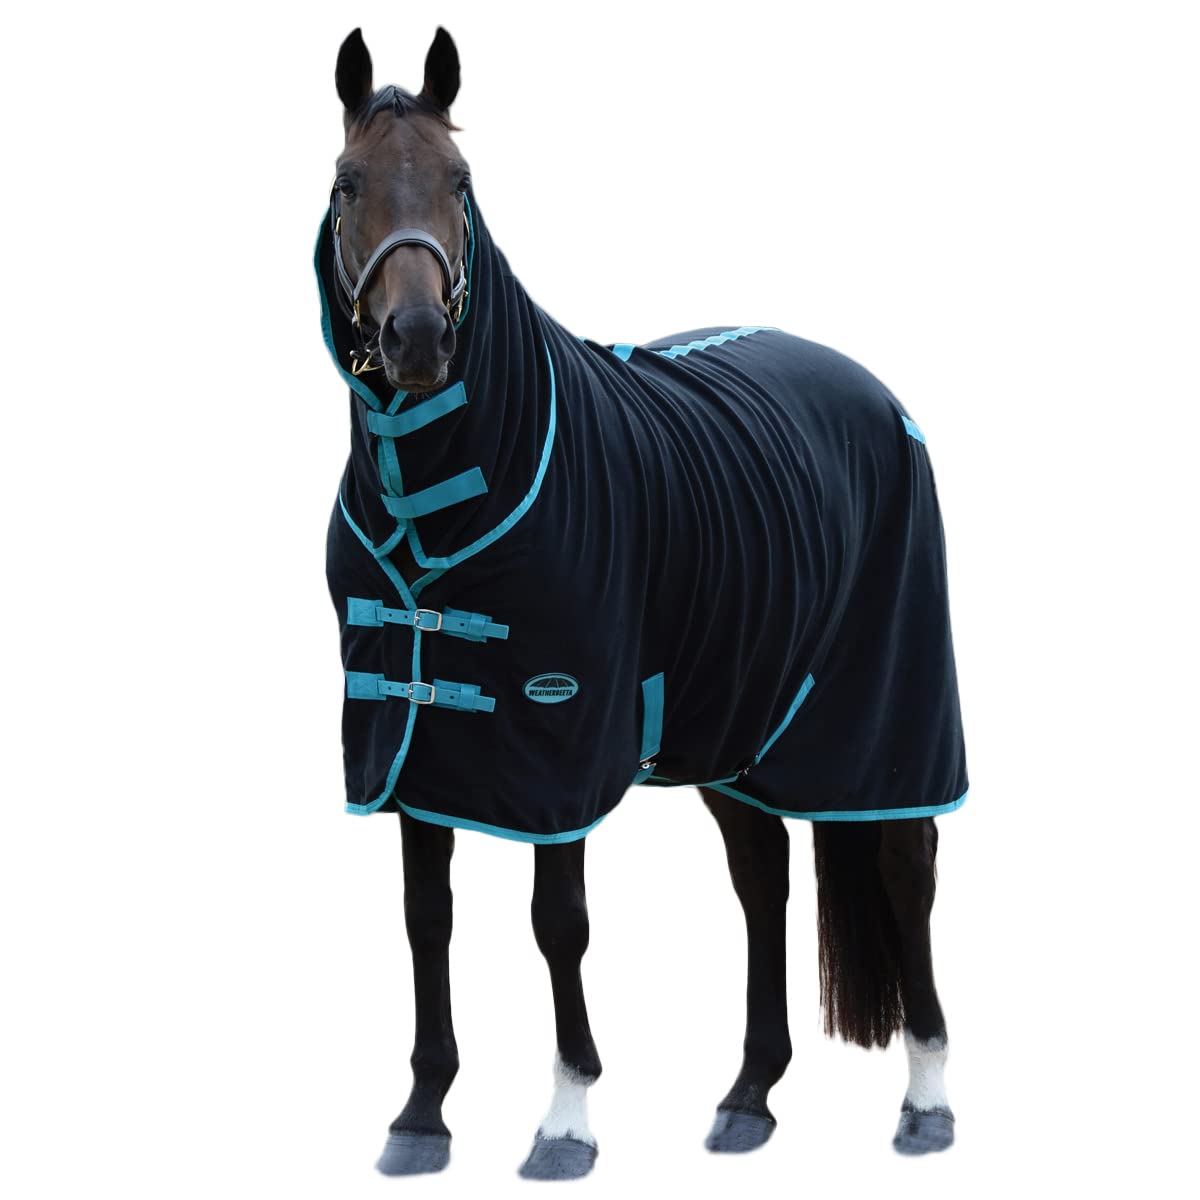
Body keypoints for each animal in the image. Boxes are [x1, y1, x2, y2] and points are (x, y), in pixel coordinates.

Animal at [316, 26, 968, 1179]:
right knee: (763, 878)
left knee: (905, 863)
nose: (419, 340)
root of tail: (866, 385)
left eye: (462, 181)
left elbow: (557, 920)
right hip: (736, 720)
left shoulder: (558, 742)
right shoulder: (412, 747)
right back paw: (749, 1095)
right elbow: (426, 919)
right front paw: (421, 1115)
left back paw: (927, 1101)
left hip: (884, 710)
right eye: (348, 185)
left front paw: (566, 1121)